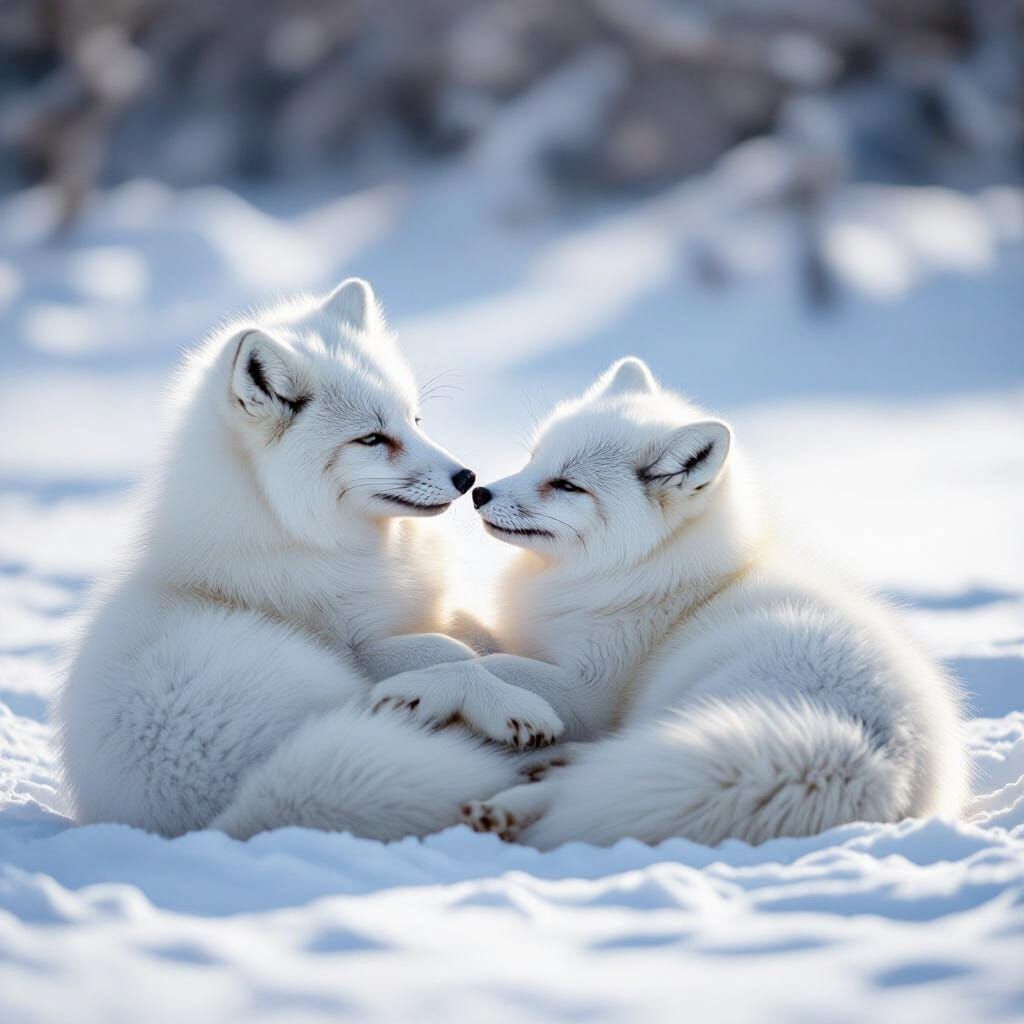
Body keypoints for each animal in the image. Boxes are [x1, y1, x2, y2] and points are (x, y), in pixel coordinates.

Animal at [55, 278, 561, 840]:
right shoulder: (354, 646)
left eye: (415, 419)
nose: (467, 478)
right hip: (321, 685)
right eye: (371, 439)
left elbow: (475, 631)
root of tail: (231, 819)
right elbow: (449, 651)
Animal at [371, 357, 969, 849]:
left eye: (567, 486)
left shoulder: (591, 690)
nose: (479, 492)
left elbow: (482, 663)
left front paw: (414, 688)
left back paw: (514, 806)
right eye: (534, 458)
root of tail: (875, 757)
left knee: (594, 785)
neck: (647, 570)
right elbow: (475, 641)